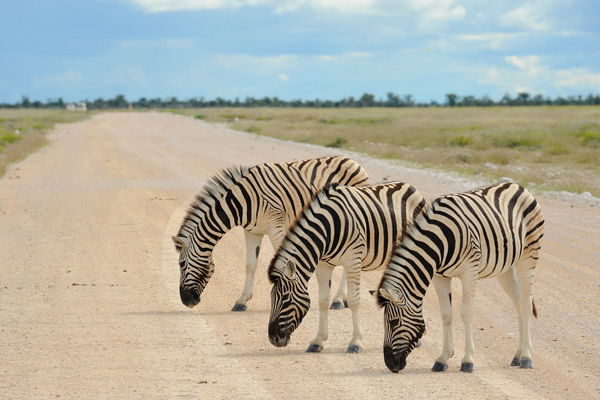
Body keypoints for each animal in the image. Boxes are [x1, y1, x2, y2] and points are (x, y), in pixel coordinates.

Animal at [172, 156, 370, 312]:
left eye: (181, 264)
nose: (187, 302)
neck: (242, 202)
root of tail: (353, 162)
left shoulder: (276, 226)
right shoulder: (252, 231)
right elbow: (250, 264)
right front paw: (242, 301)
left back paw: (338, 300)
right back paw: (343, 299)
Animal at [268, 181, 426, 354]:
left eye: (285, 298)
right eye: (271, 297)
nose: (273, 339)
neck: (328, 229)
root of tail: (409, 185)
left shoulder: (352, 260)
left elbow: (353, 300)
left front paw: (355, 342)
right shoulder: (323, 264)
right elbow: (323, 300)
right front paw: (318, 340)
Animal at [378, 183, 548, 374]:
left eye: (393, 322)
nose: (390, 364)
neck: (440, 242)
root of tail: (517, 186)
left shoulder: (469, 271)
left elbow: (466, 313)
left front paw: (467, 361)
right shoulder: (439, 276)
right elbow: (446, 314)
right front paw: (443, 359)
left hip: (528, 255)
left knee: (526, 303)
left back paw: (526, 357)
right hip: (506, 268)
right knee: (518, 302)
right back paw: (518, 355)